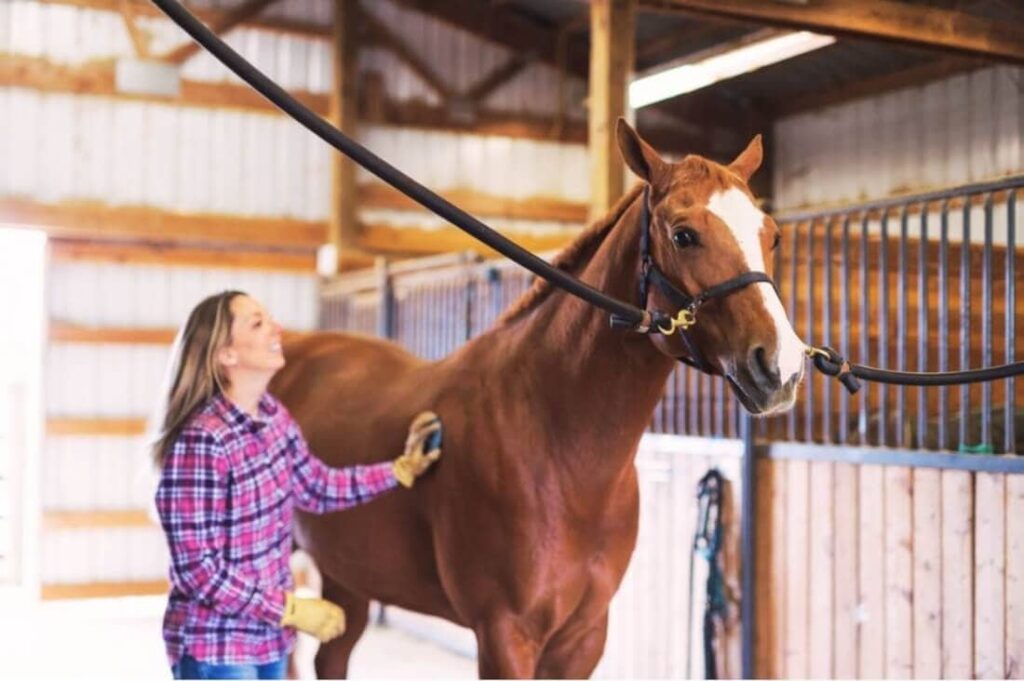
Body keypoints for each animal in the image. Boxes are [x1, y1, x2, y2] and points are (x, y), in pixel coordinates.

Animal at [269, 119, 805, 678]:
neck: (559, 446)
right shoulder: (505, 634)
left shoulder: (584, 636)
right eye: (684, 234)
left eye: (771, 234)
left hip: (347, 576)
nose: (781, 366)